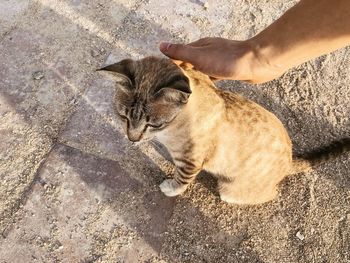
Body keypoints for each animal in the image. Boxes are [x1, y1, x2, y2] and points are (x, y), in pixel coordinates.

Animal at [98, 56, 350, 206]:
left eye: (153, 124)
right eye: (123, 117)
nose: (132, 139)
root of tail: (289, 159)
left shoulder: (191, 161)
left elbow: (182, 179)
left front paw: (171, 188)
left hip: (230, 190)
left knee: (267, 194)